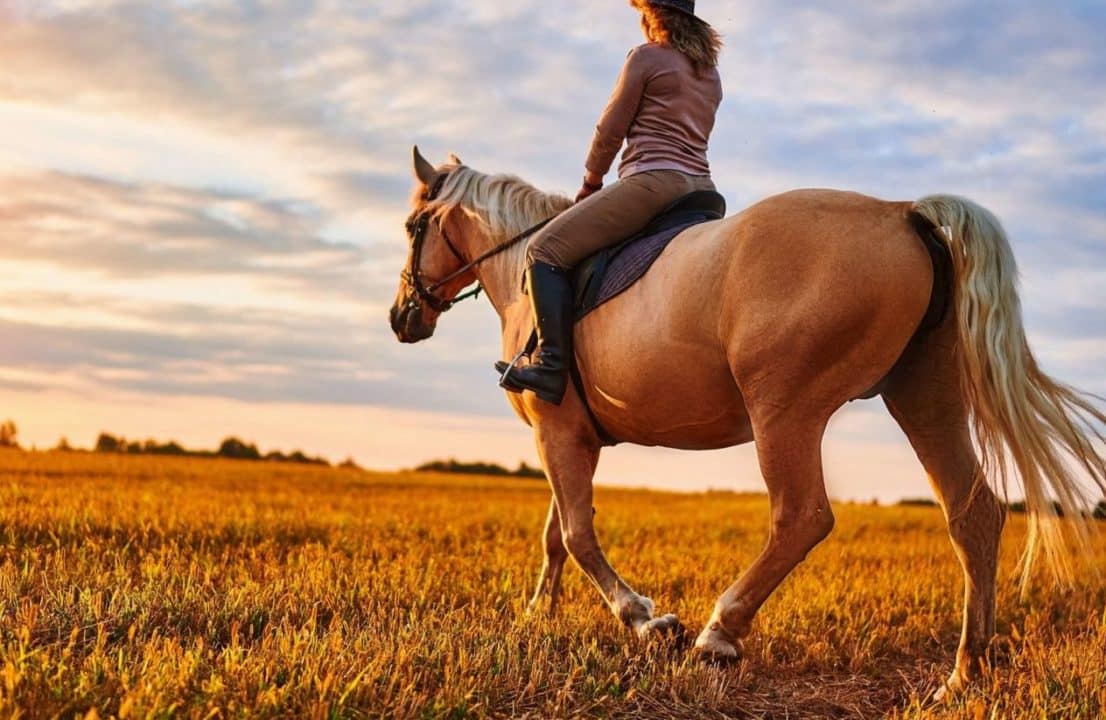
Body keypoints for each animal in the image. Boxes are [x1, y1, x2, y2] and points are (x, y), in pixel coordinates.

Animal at [389, 145, 1106, 698]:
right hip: (924, 393)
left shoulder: (556, 430)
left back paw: (719, 633)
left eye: (411, 225)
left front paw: (646, 620)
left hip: (785, 408)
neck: (524, 275)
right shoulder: (567, 435)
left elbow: (577, 533)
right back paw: (964, 676)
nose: (401, 318)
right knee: (973, 512)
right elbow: (556, 536)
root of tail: (901, 212)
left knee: (802, 516)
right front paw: (539, 614)